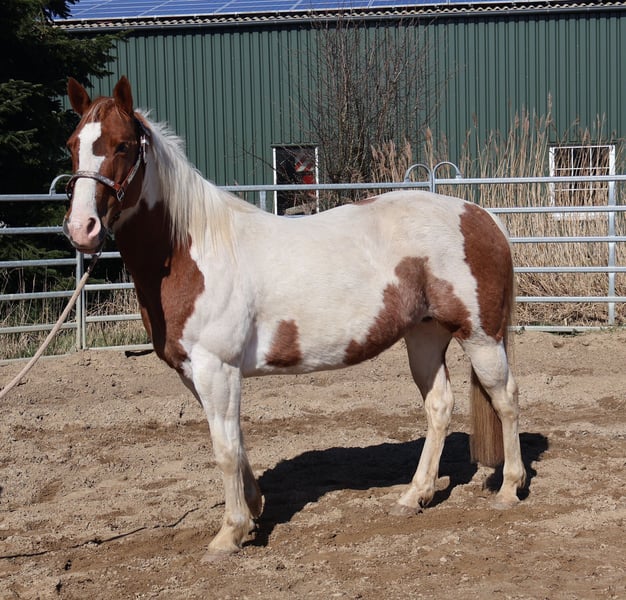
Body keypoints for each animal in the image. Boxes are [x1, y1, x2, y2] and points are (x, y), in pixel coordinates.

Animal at [63, 76, 526, 556]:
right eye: (72, 145)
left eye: (121, 146)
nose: (82, 229)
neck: (193, 251)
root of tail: (482, 217)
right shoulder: (197, 373)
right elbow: (235, 442)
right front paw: (253, 510)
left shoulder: (216, 367)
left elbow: (224, 450)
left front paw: (229, 533)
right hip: (424, 336)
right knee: (439, 406)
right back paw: (414, 496)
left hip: (481, 337)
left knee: (506, 398)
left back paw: (510, 489)